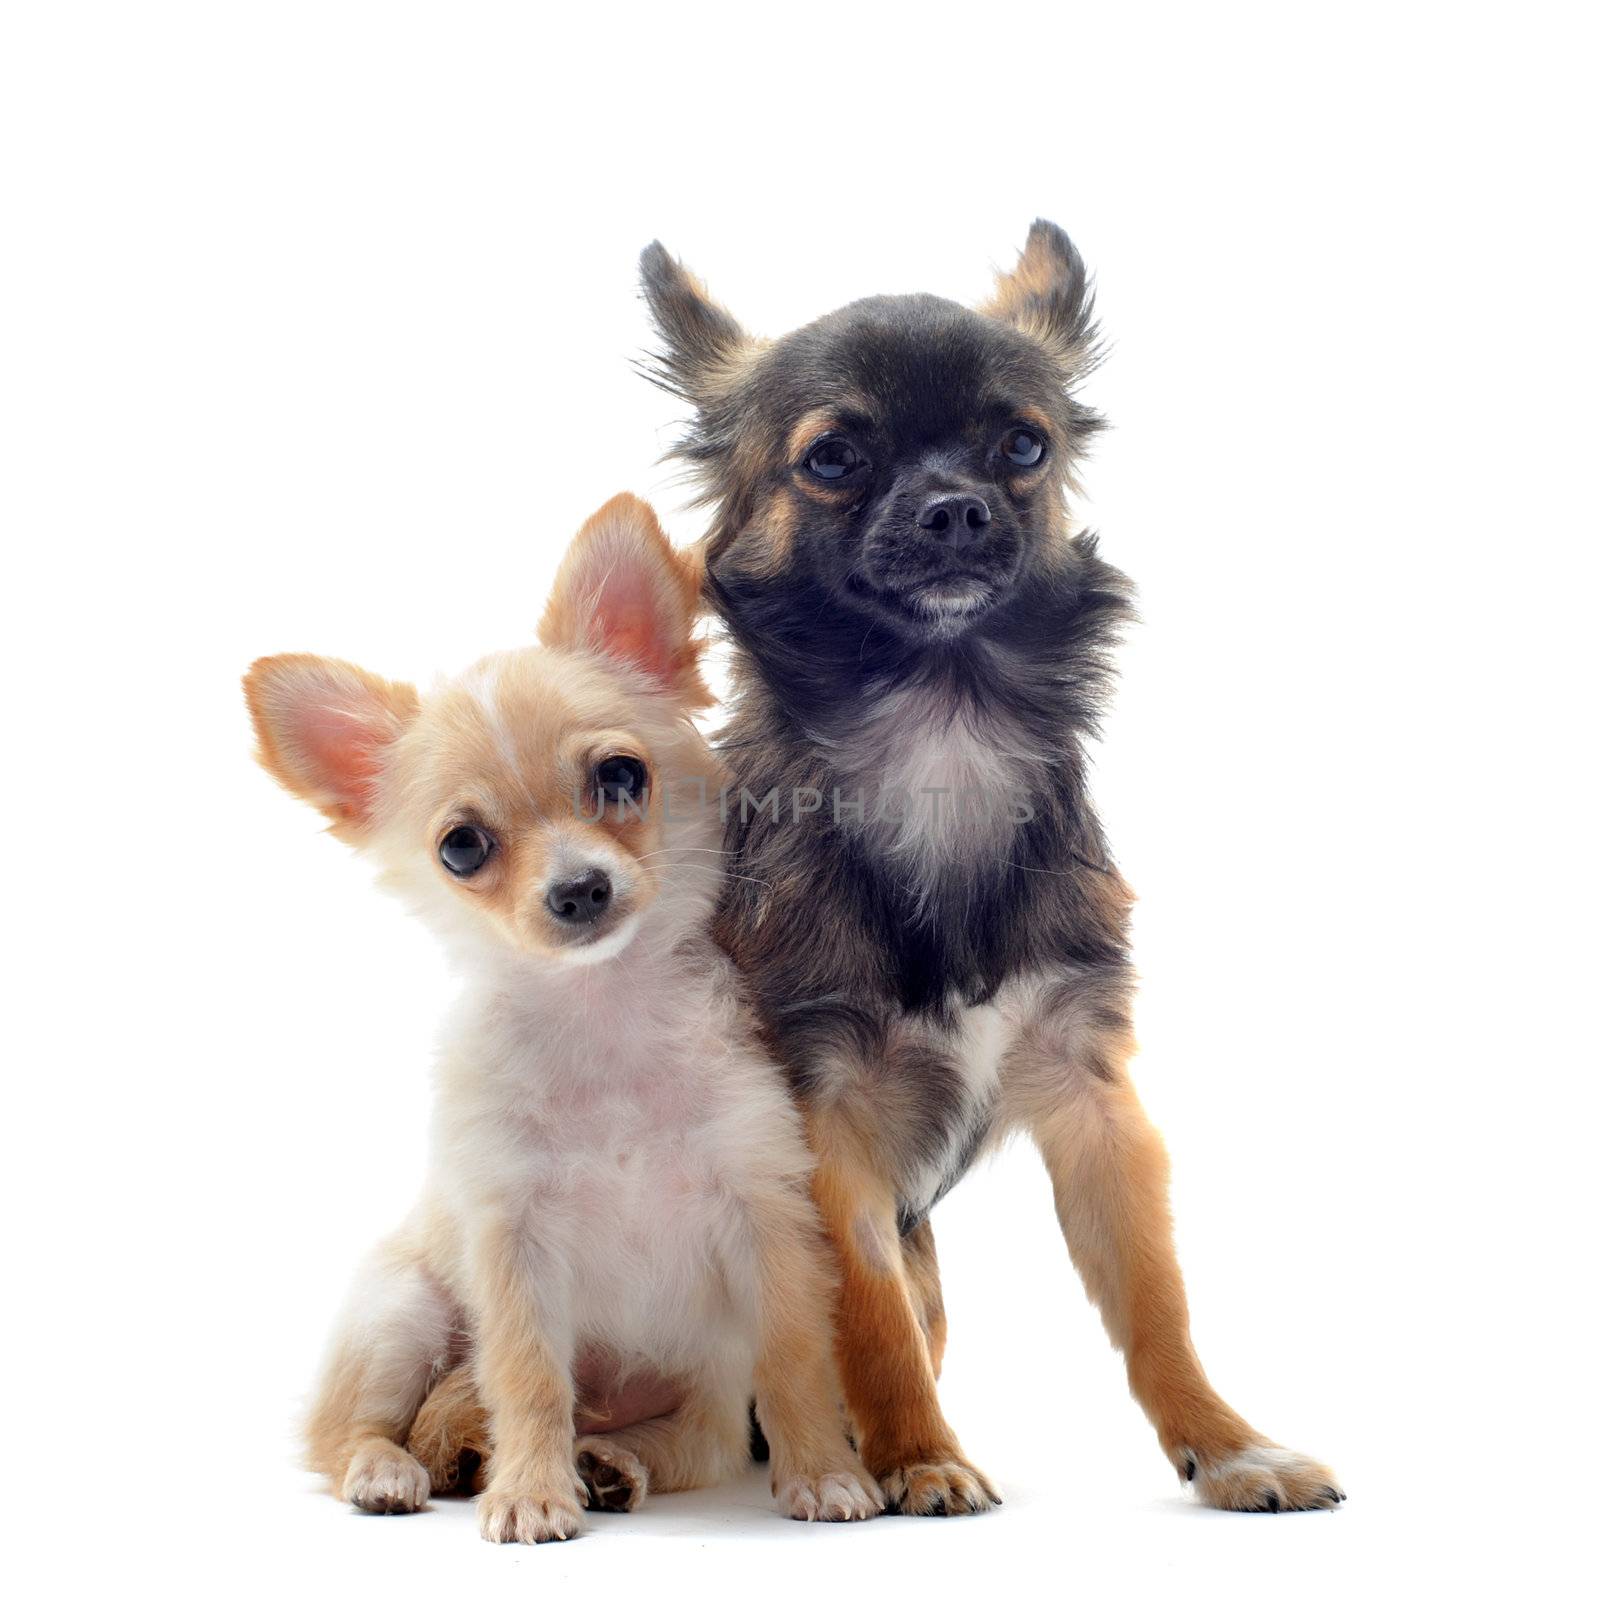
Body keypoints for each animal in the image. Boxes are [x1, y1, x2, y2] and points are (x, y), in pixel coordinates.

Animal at [243, 492, 883, 1542]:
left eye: (619, 777)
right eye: (462, 847)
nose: (580, 890)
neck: (602, 1015)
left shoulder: (766, 1221)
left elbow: (796, 1362)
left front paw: (824, 1475)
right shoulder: (514, 1245)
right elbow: (531, 1378)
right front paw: (530, 1495)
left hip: (703, 1391)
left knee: (676, 1444)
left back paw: (612, 1462)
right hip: (401, 1313)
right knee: (347, 1436)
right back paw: (394, 1471)